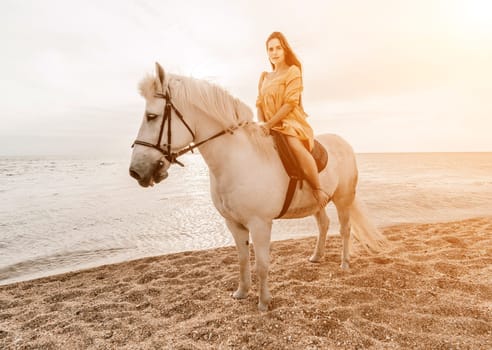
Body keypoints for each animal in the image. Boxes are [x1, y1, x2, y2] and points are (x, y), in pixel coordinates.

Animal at [129, 63, 386, 312]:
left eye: (151, 116)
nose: (136, 171)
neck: (237, 159)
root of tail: (344, 142)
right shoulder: (233, 224)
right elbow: (243, 260)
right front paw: (241, 293)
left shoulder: (260, 224)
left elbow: (262, 264)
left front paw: (264, 302)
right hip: (317, 203)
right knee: (324, 224)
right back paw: (316, 256)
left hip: (343, 199)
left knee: (345, 230)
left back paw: (344, 264)